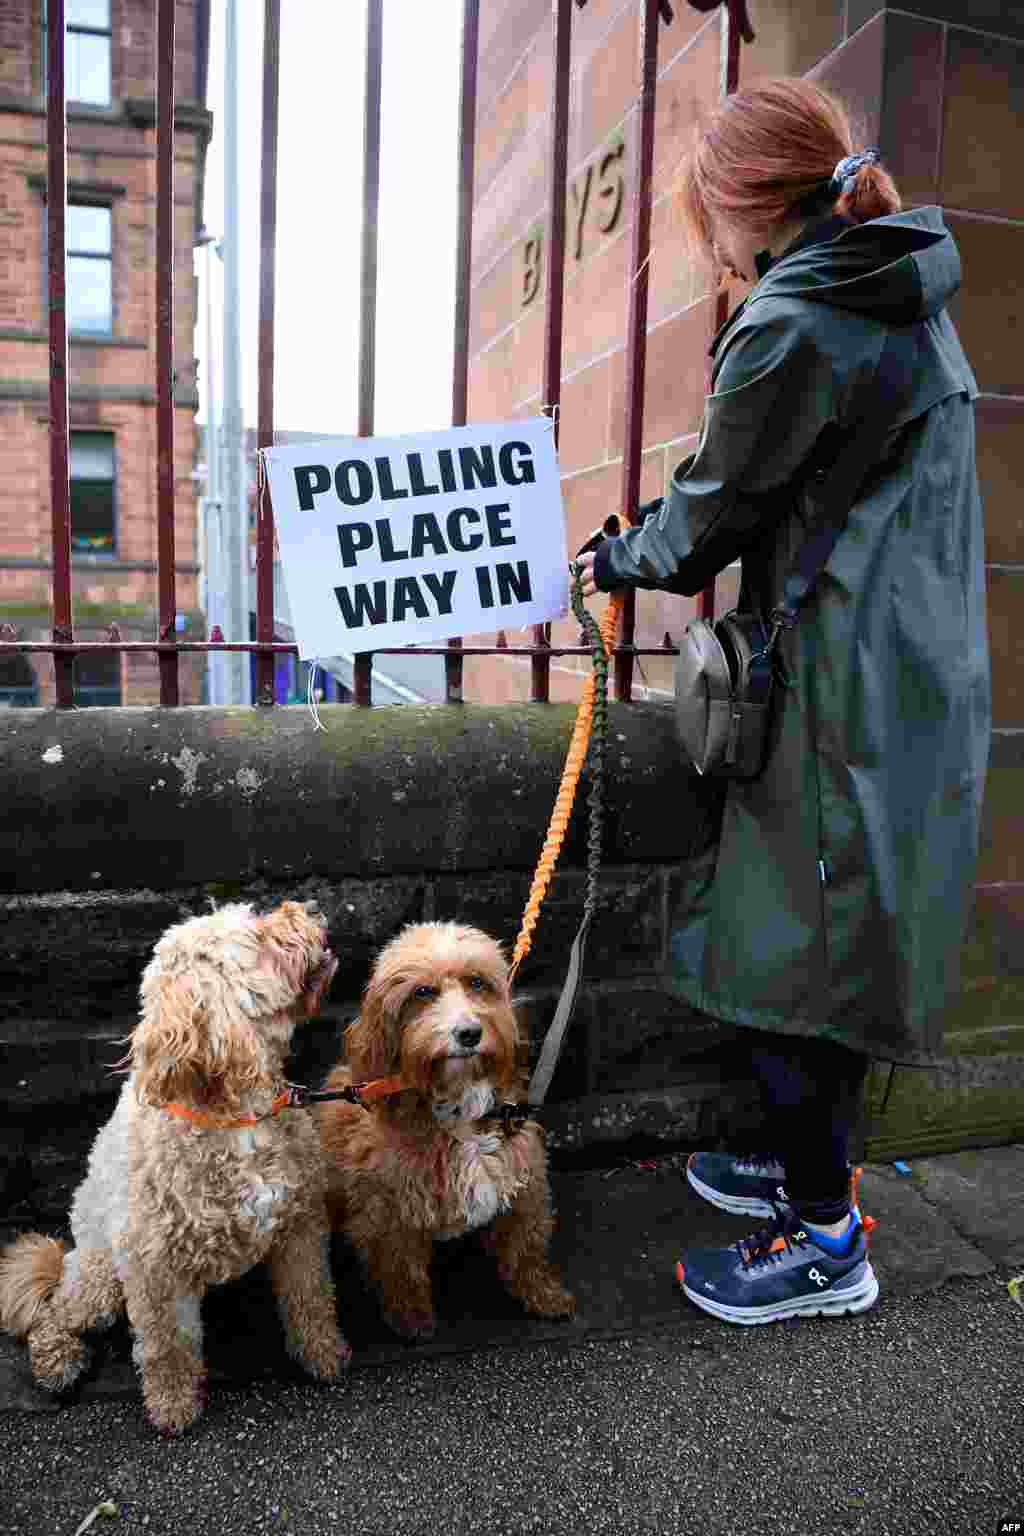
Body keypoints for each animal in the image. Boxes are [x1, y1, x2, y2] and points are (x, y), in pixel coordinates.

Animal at [0, 897, 348, 1431]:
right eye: (255, 935)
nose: (309, 906)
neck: (237, 1114)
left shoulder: (301, 1225)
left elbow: (311, 1296)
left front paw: (324, 1355)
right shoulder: (153, 1269)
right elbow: (166, 1347)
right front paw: (172, 1406)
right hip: (102, 1274)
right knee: (56, 1310)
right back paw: (57, 1361)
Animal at [317, 915, 577, 1339]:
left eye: (477, 982)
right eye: (422, 992)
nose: (469, 1033)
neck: (460, 1106)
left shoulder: (523, 1174)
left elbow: (526, 1245)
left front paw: (545, 1295)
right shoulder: (389, 1208)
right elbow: (401, 1269)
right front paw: (412, 1320)